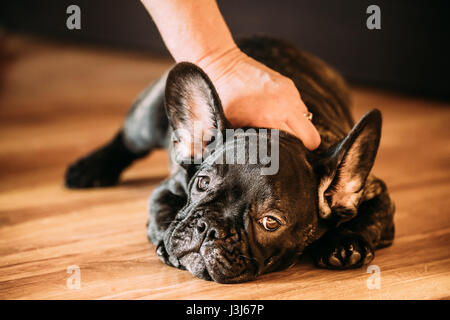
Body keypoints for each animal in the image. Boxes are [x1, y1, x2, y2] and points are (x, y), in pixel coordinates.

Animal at [65, 36, 396, 284]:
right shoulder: (169, 188)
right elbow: (163, 214)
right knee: (127, 139)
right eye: (202, 182)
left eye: (270, 222)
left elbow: (372, 218)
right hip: (146, 120)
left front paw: (346, 242)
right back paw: (89, 168)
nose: (208, 228)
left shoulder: (375, 191)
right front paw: (166, 244)